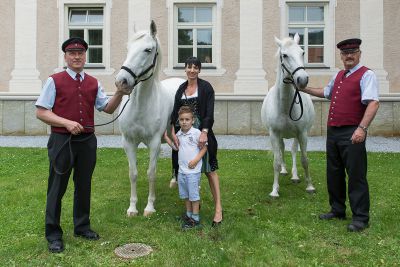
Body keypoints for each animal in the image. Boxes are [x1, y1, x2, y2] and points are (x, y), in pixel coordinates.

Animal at [115, 21, 185, 218]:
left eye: (148, 49)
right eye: (128, 48)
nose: (122, 81)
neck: (140, 106)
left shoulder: (154, 143)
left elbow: (151, 173)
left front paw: (149, 207)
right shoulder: (128, 142)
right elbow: (133, 173)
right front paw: (132, 208)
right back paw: (174, 181)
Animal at [260, 33, 318, 198]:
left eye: (302, 52)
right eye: (284, 55)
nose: (302, 80)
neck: (285, 108)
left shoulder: (302, 133)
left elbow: (304, 159)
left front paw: (310, 186)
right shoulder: (274, 133)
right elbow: (276, 161)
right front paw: (274, 190)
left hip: (297, 135)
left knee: (292, 150)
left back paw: (295, 176)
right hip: (281, 136)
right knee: (282, 149)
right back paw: (285, 171)